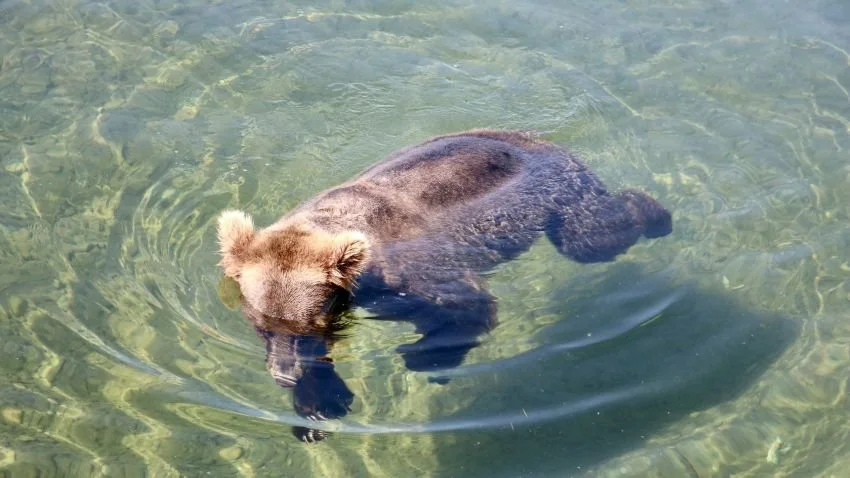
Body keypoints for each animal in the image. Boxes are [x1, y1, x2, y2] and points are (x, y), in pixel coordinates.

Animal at [216, 129, 672, 442]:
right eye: (262, 327)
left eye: (308, 325)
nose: (283, 374)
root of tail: (541, 139)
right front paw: (316, 407)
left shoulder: (409, 270)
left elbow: (465, 307)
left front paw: (423, 356)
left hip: (558, 195)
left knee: (590, 238)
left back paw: (656, 212)